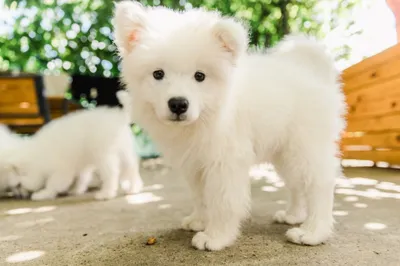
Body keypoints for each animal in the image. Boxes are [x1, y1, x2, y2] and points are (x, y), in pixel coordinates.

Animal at [0, 90, 144, 201]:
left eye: (18, 185)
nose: (19, 196)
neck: (35, 157)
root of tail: (120, 116)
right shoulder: (78, 164)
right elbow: (81, 178)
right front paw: (75, 190)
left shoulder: (61, 170)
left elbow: (53, 184)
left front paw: (43, 194)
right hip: (124, 152)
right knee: (131, 170)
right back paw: (134, 188)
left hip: (104, 155)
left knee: (112, 174)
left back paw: (106, 193)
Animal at [113, 1, 346, 250]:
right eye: (158, 74)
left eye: (200, 76)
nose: (178, 104)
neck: (207, 115)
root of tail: (314, 74)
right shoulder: (195, 163)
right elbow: (200, 196)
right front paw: (199, 220)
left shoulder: (224, 163)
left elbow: (222, 202)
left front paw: (216, 236)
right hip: (284, 152)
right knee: (297, 185)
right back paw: (293, 215)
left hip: (305, 146)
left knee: (319, 185)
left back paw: (312, 232)